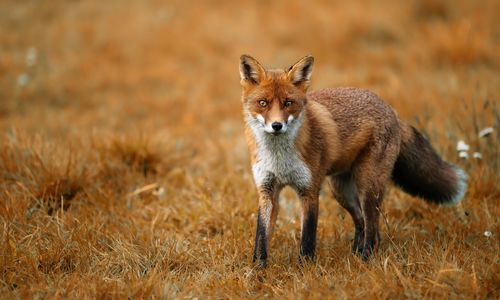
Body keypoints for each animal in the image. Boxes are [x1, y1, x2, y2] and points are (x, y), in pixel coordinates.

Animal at [240, 55, 466, 266]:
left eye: (288, 103)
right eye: (263, 103)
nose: (276, 126)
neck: (279, 158)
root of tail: (391, 110)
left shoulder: (309, 190)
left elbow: (307, 238)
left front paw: (305, 269)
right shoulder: (267, 190)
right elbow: (261, 235)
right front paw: (258, 270)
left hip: (368, 187)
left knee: (373, 229)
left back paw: (366, 259)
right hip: (342, 191)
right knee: (361, 222)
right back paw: (355, 254)